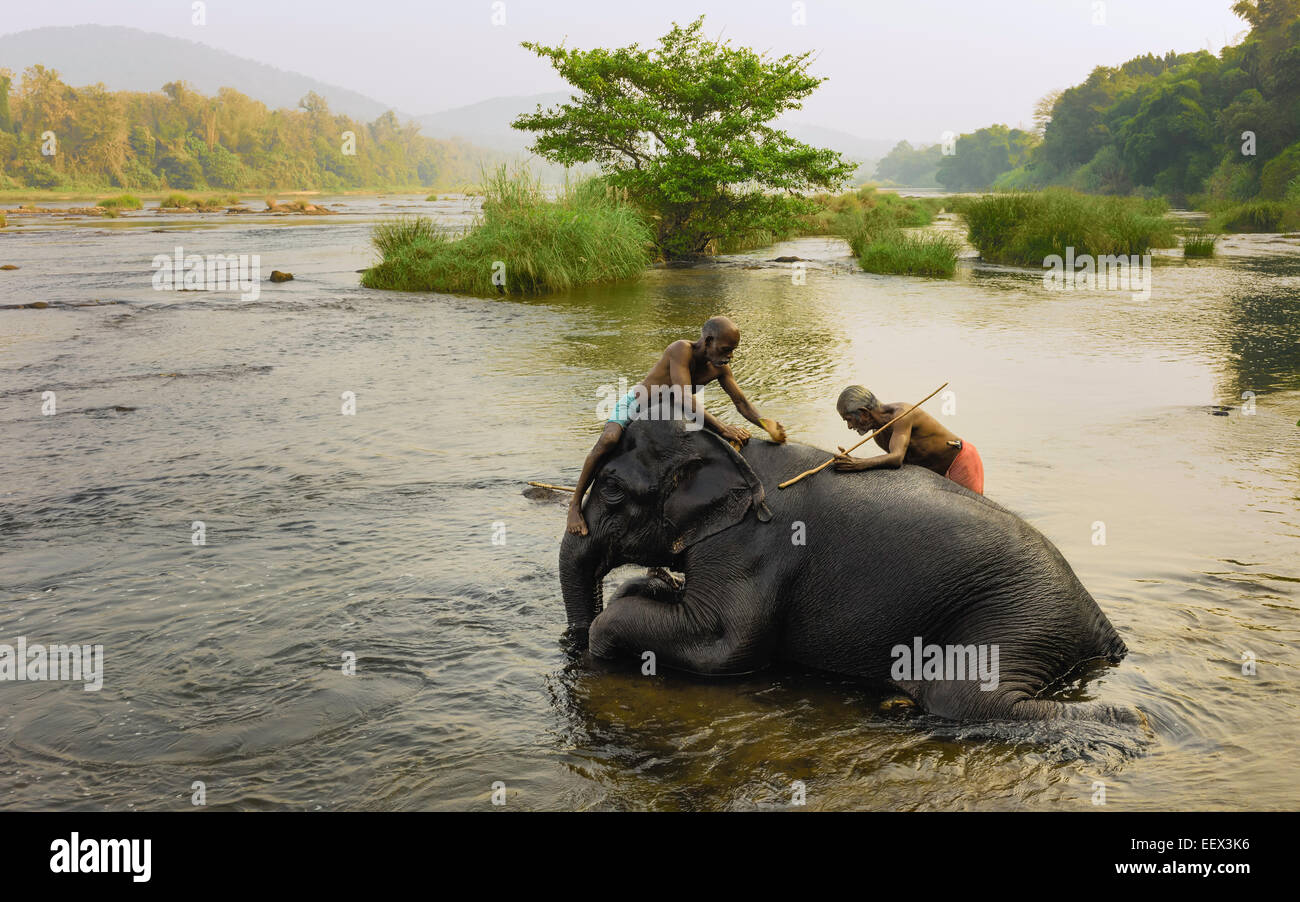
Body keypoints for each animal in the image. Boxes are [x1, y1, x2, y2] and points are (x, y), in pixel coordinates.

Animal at [559, 413, 1138, 722]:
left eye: (611, 490)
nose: (571, 644)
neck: (718, 444)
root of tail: (1099, 622)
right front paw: (646, 586)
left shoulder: (753, 546)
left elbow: (726, 644)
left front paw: (602, 640)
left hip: (1018, 613)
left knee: (966, 699)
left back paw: (1128, 719)